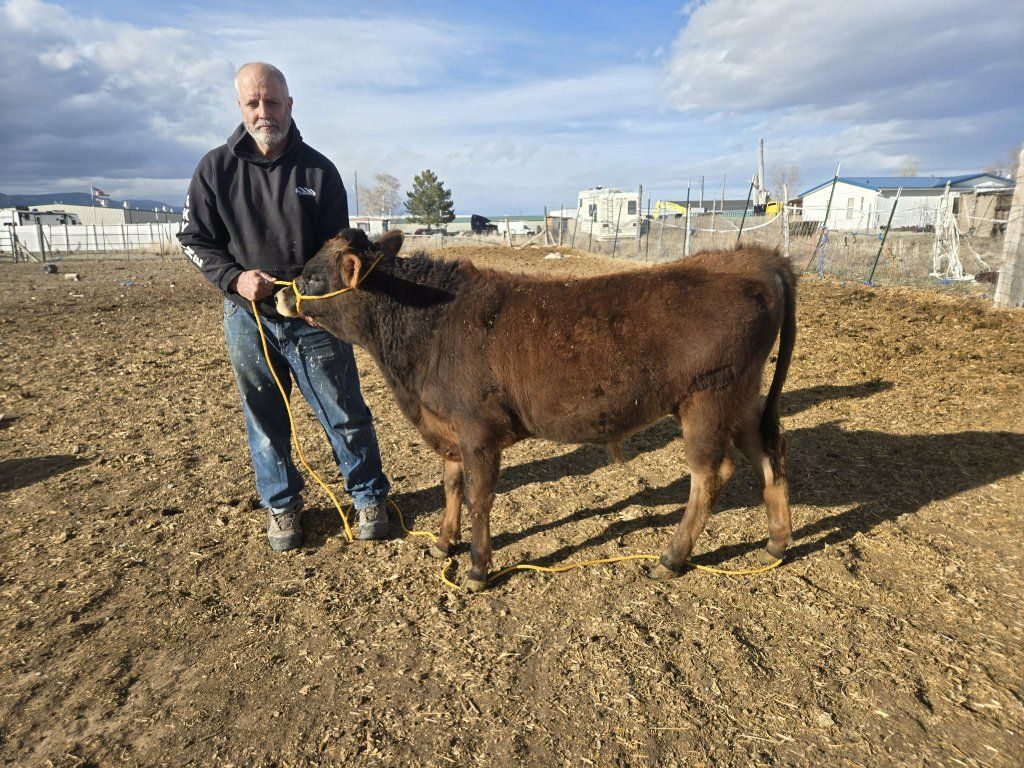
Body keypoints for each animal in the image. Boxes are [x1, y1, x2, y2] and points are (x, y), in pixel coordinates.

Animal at [276, 229, 797, 591]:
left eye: (313, 276)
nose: (279, 291)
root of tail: (754, 257)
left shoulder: (477, 430)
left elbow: (479, 496)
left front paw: (478, 568)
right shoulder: (448, 429)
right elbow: (451, 485)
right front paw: (444, 542)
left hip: (708, 399)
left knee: (712, 473)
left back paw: (672, 557)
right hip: (742, 398)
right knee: (770, 456)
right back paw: (776, 543)